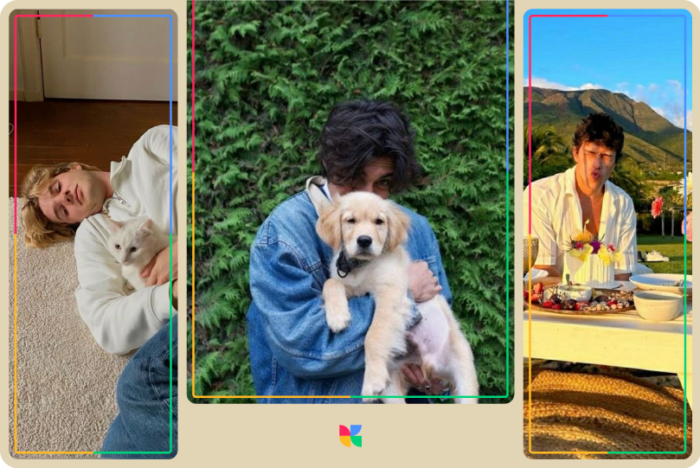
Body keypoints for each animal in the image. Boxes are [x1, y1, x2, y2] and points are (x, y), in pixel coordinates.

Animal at [314, 190, 478, 402]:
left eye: (379, 222)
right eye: (350, 220)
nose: (364, 240)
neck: (362, 266)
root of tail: (427, 363)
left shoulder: (390, 292)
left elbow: (374, 334)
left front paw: (371, 381)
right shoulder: (352, 286)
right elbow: (331, 283)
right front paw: (337, 317)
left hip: (463, 370)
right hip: (392, 383)